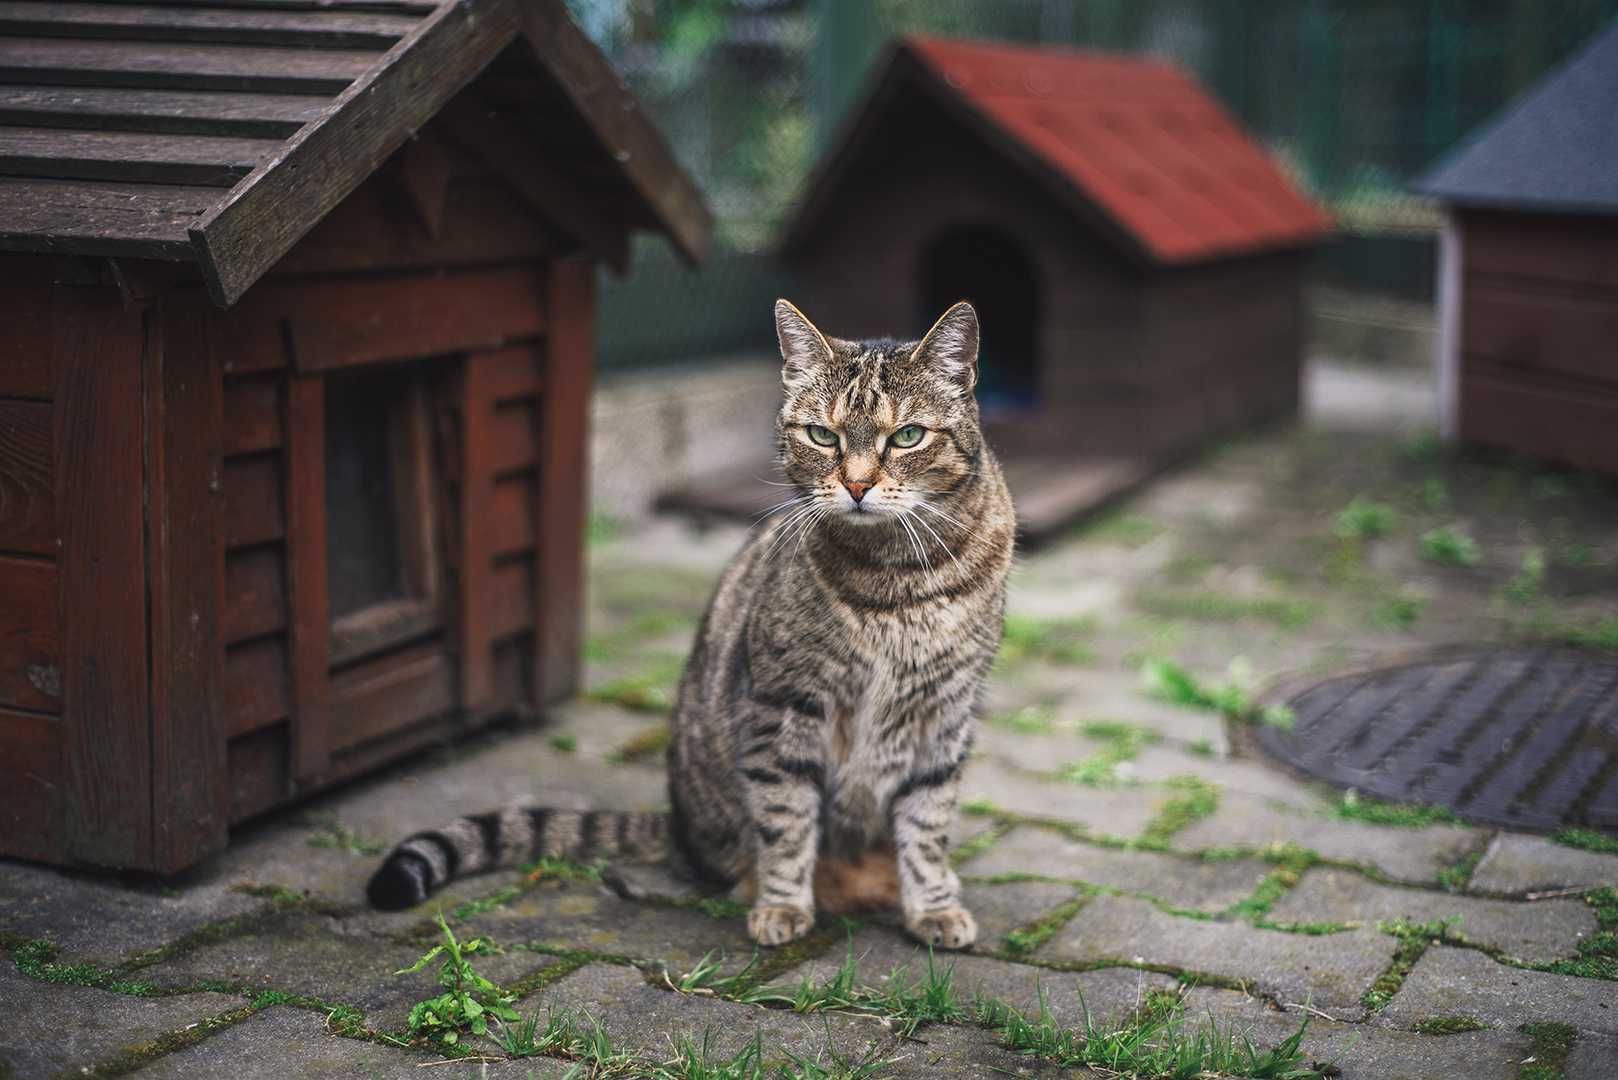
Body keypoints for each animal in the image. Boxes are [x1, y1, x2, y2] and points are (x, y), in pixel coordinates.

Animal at [372, 299, 1016, 952]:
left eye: (907, 436)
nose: (857, 486)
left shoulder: (944, 716)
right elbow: (786, 820)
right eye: (822, 435)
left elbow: (928, 825)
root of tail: (678, 827)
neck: (895, 579)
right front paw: (782, 904)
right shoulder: (782, 706)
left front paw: (933, 907)